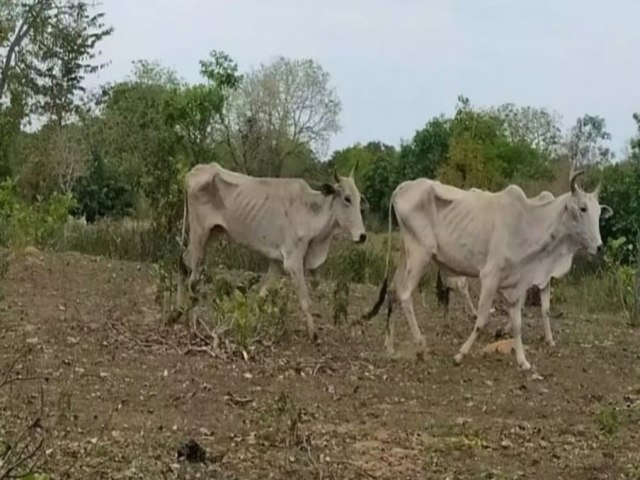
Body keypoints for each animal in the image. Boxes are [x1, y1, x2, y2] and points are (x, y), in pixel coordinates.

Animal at [175, 162, 368, 342]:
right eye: (347, 198)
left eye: (359, 200)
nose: (362, 236)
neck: (309, 213)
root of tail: (195, 171)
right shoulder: (293, 262)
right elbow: (305, 301)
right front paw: (313, 335)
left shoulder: (277, 262)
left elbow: (262, 295)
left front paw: (252, 325)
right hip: (199, 234)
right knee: (193, 278)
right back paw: (192, 323)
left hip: (210, 234)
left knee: (184, 263)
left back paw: (177, 312)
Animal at [362, 172, 612, 372]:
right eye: (583, 208)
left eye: (599, 212)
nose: (599, 246)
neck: (527, 222)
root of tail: (402, 188)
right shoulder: (490, 277)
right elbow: (482, 319)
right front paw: (460, 354)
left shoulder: (516, 285)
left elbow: (518, 323)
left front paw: (523, 362)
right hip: (420, 254)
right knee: (405, 294)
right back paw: (421, 347)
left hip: (406, 253)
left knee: (393, 291)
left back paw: (390, 346)